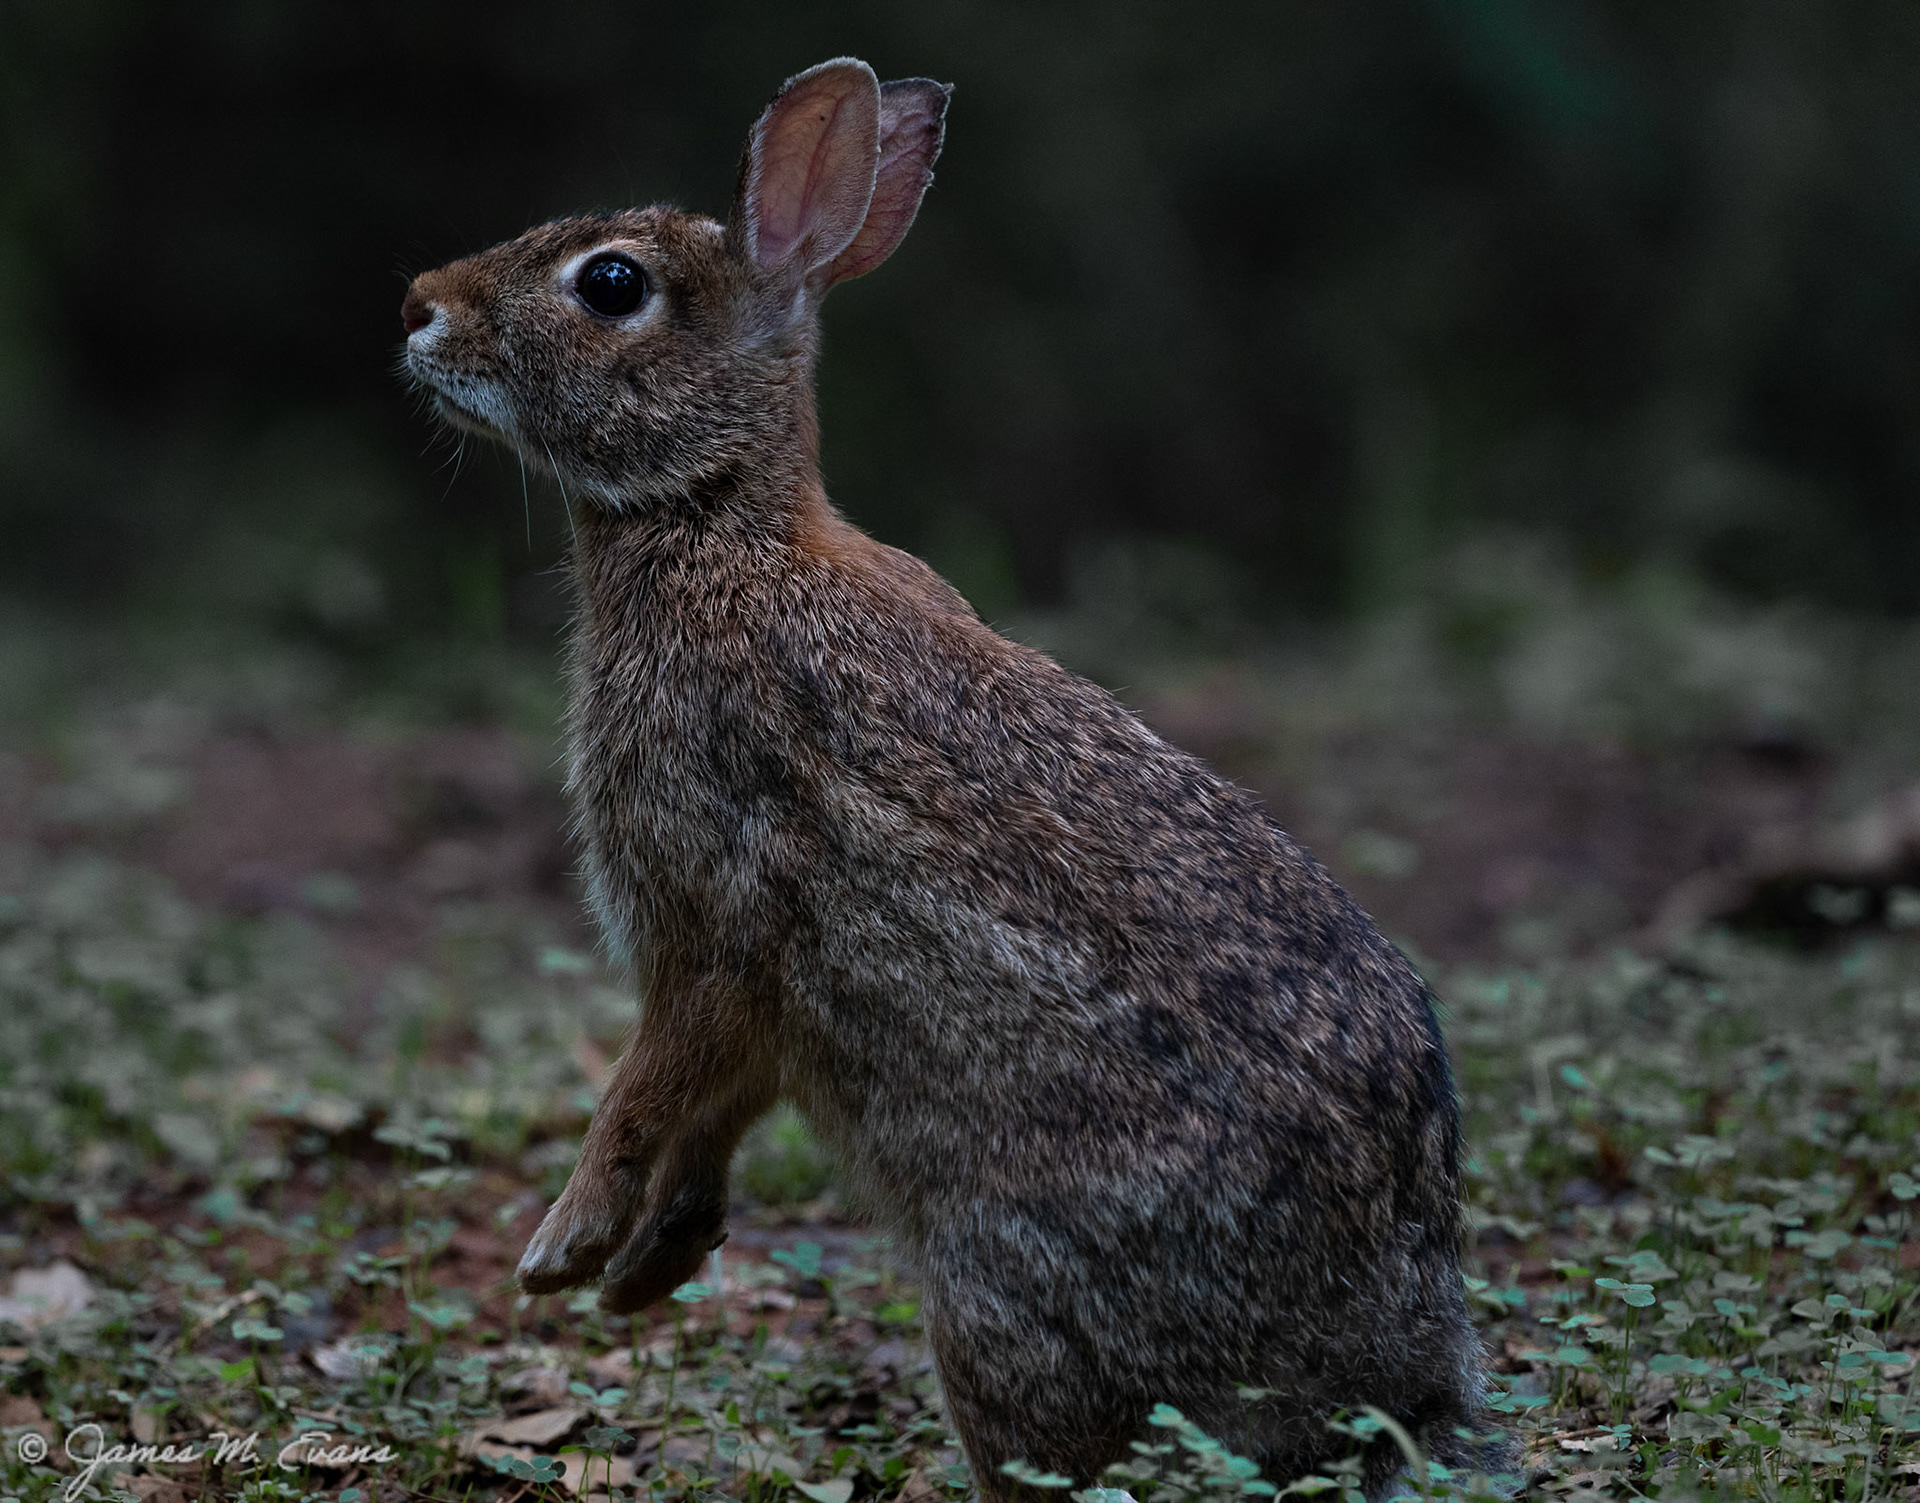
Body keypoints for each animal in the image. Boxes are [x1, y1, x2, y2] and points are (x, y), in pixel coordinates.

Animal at [400, 57, 1510, 1500]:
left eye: (610, 283)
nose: (418, 305)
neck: (714, 518)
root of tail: (1390, 1361)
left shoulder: (713, 905)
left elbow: (648, 1083)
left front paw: (565, 1249)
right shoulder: (769, 1010)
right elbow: (715, 1110)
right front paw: (648, 1271)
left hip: (998, 1297)